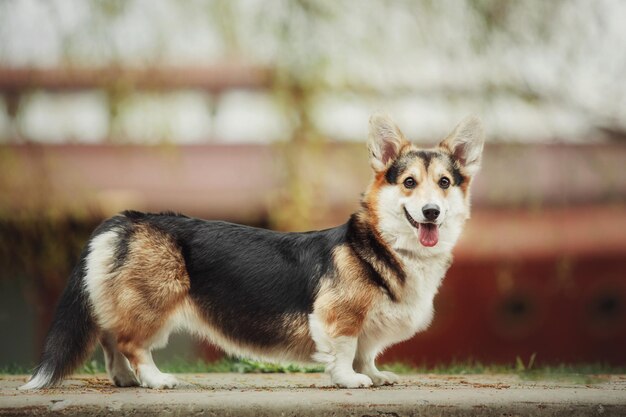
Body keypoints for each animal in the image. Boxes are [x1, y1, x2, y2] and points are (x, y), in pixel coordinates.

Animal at [22, 112, 482, 388]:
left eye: (444, 183)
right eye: (408, 182)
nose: (431, 211)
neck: (387, 247)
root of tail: (125, 218)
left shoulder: (370, 328)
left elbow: (367, 353)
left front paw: (375, 374)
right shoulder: (341, 318)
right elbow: (346, 349)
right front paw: (350, 380)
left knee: (111, 339)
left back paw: (127, 380)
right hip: (156, 300)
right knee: (132, 343)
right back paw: (155, 379)